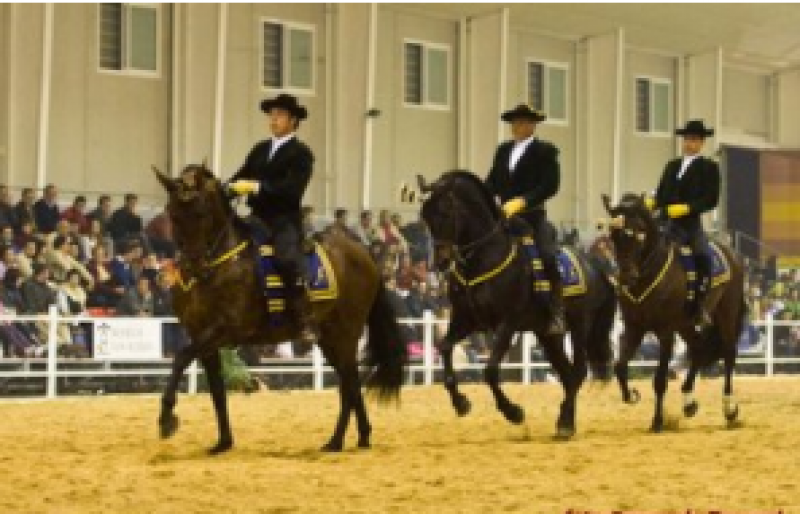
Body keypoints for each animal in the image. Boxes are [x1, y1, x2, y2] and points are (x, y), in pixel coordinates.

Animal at [153, 165, 406, 452]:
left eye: (202, 213)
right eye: (173, 214)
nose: (194, 267)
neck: (222, 263)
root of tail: (365, 255)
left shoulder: (226, 328)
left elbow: (181, 357)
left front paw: (166, 419)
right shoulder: (201, 335)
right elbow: (216, 389)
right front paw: (223, 442)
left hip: (345, 334)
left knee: (349, 382)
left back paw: (337, 440)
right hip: (329, 338)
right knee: (349, 383)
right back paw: (359, 436)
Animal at [416, 171, 616, 436]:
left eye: (445, 212)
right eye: (425, 215)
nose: (441, 261)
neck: (484, 257)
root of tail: (596, 267)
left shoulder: (507, 323)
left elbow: (490, 370)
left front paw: (513, 412)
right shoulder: (465, 319)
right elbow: (445, 347)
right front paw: (461, 403)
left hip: (579, 326)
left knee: (578, 371)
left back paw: (565, 423)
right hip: (547, 335)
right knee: (567, 374)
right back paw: (564, 421)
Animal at [604, 192, 748, 428]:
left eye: (639, 233)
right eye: (613, 236)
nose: (626, 277)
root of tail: (733, 254)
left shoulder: (665, 332)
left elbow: (660, 380)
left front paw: (657, 421)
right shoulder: (634, 328)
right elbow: (619, 366)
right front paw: (632, 395)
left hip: (727, 313)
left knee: (729, 353)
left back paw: (729, 409)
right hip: (685, 324)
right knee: (698, 348)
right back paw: (689, 403)